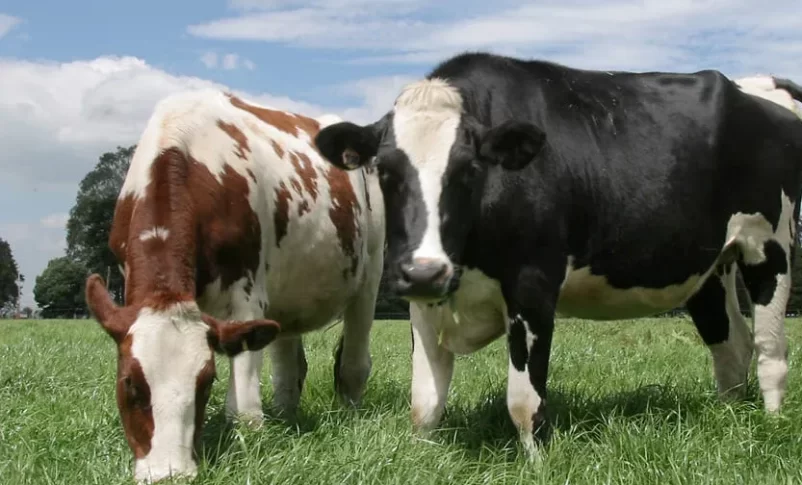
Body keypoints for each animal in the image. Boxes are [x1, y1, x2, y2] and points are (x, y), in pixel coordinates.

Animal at [84, 89, 385, 483]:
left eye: (206, 382)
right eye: (129, 382)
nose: (171, 474)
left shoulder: (245, 296)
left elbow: (244, 409)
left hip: (370, 276)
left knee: (353, 362)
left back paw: (348, 411)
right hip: (288, 296)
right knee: (289, 367)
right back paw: (286, 414)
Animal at [313, 52, 802, 457]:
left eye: (469, 168)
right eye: (384, 170)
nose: (423, 272)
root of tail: (752, 86)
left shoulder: (532, 284)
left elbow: (523, 400)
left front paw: (537, 464)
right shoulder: (425, 296)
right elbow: (425, 404)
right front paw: (422, 458)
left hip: (769, 246)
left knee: (770, 350)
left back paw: (770, 426)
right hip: (709, 266)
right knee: (731, 346)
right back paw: (730, 419)